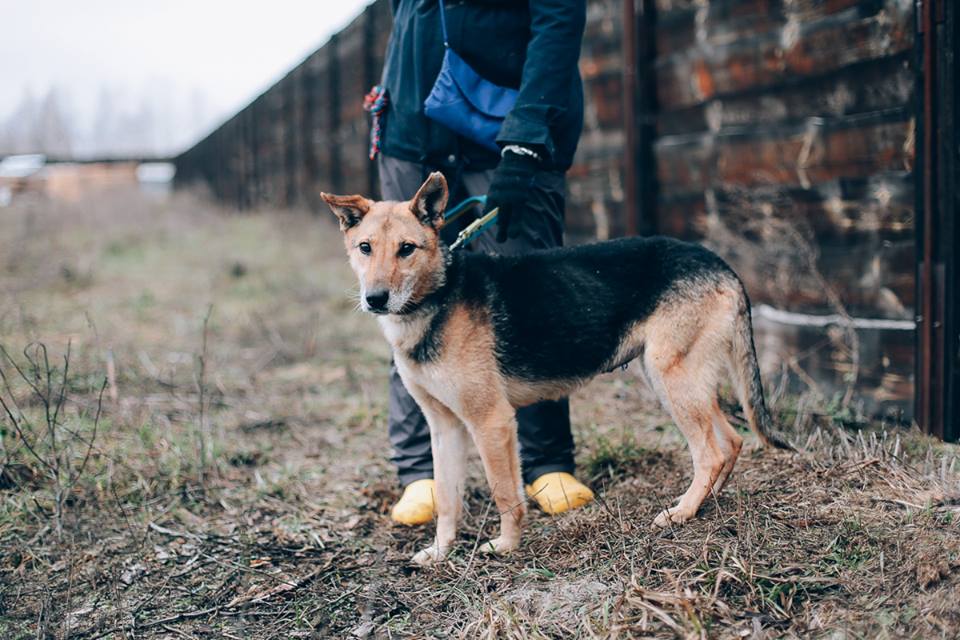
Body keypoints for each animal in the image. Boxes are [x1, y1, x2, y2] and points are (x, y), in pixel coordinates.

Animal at [322, 171, 788, 564]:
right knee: (730, 442)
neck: (438, 295)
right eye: (365, 248)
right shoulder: (445, 427)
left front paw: (507, 546)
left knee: (711, 451)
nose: (375, 299)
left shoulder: (491, 422)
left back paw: (682, 512)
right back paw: (706, 501)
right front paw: (440, 552)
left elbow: (505, 493)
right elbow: (448, 500)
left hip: (670, 377)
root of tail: (718, 262)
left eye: (407, 249)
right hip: (675, 379)